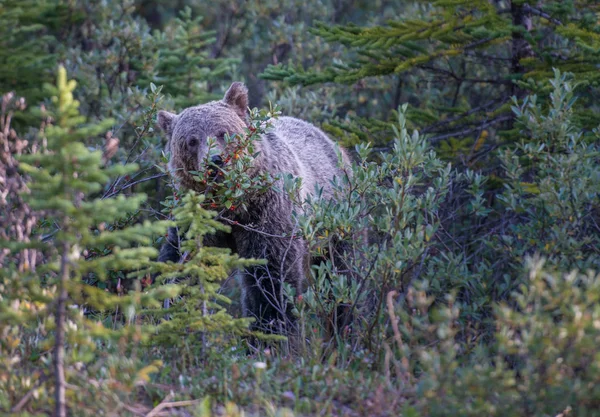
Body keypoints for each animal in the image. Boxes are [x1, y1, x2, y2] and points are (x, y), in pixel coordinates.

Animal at [157, 83, 352, 334]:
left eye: (223, 132)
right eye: (191, 140)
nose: (215, 162)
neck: (230, 206)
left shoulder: (267, 213)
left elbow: (270, 277)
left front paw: (274, 326)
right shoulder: (195, 218)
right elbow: (179, 260)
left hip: (336, 216)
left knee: (342, 272)